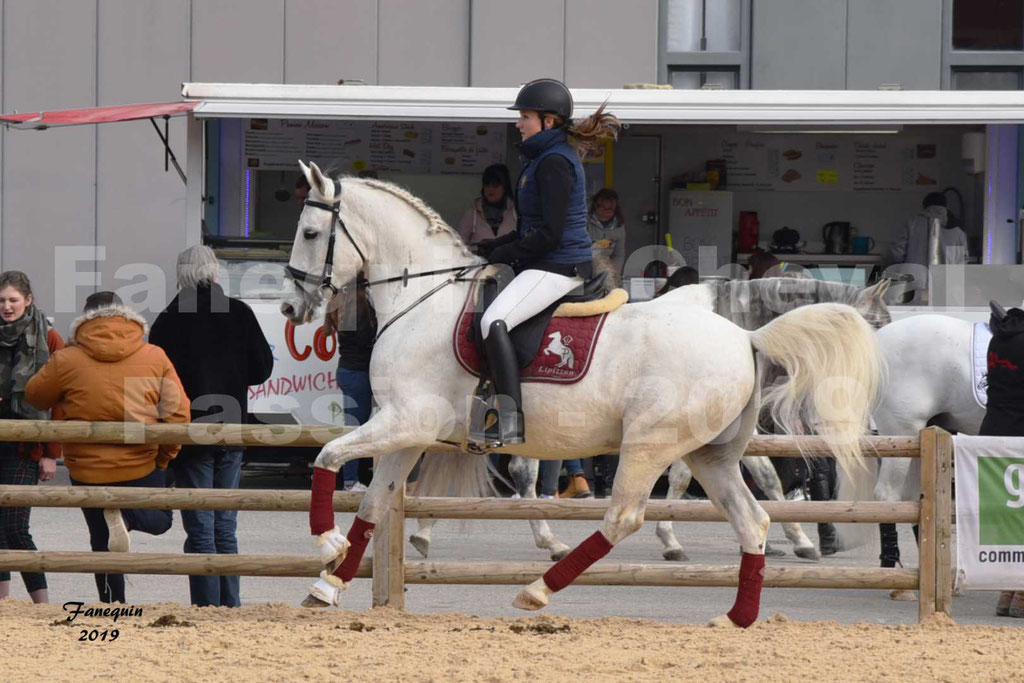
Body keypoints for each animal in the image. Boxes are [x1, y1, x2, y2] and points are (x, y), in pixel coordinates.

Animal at [278, 162, 880, 626]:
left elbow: (327, 456)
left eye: (308, 233)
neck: (422, 298)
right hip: (709, 454)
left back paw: (537, 590)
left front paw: (326, 543)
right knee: (750, 519)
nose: (290, 307)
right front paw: (327, 586)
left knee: (624, 516)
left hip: (650, 444)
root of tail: (745, 337)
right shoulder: (407, 431)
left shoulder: (405, 421)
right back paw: (736, 618)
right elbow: (374, 504)